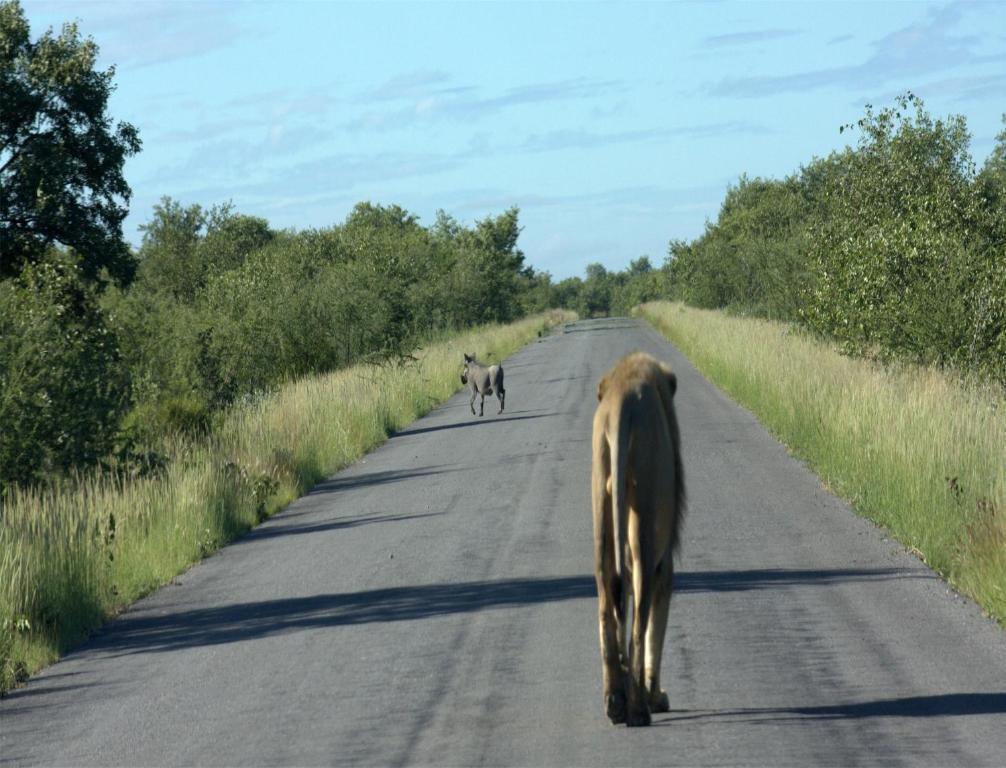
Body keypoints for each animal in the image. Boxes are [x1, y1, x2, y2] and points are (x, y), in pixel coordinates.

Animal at [587, 352, 684, 724]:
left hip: (602, 504)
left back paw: (615, 701)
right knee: (640, 622)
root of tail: (621, 401)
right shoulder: (665, 560)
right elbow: (657, 624)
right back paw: (639, 708)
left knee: (606, 598)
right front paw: (657, 696)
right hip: (645, 519)